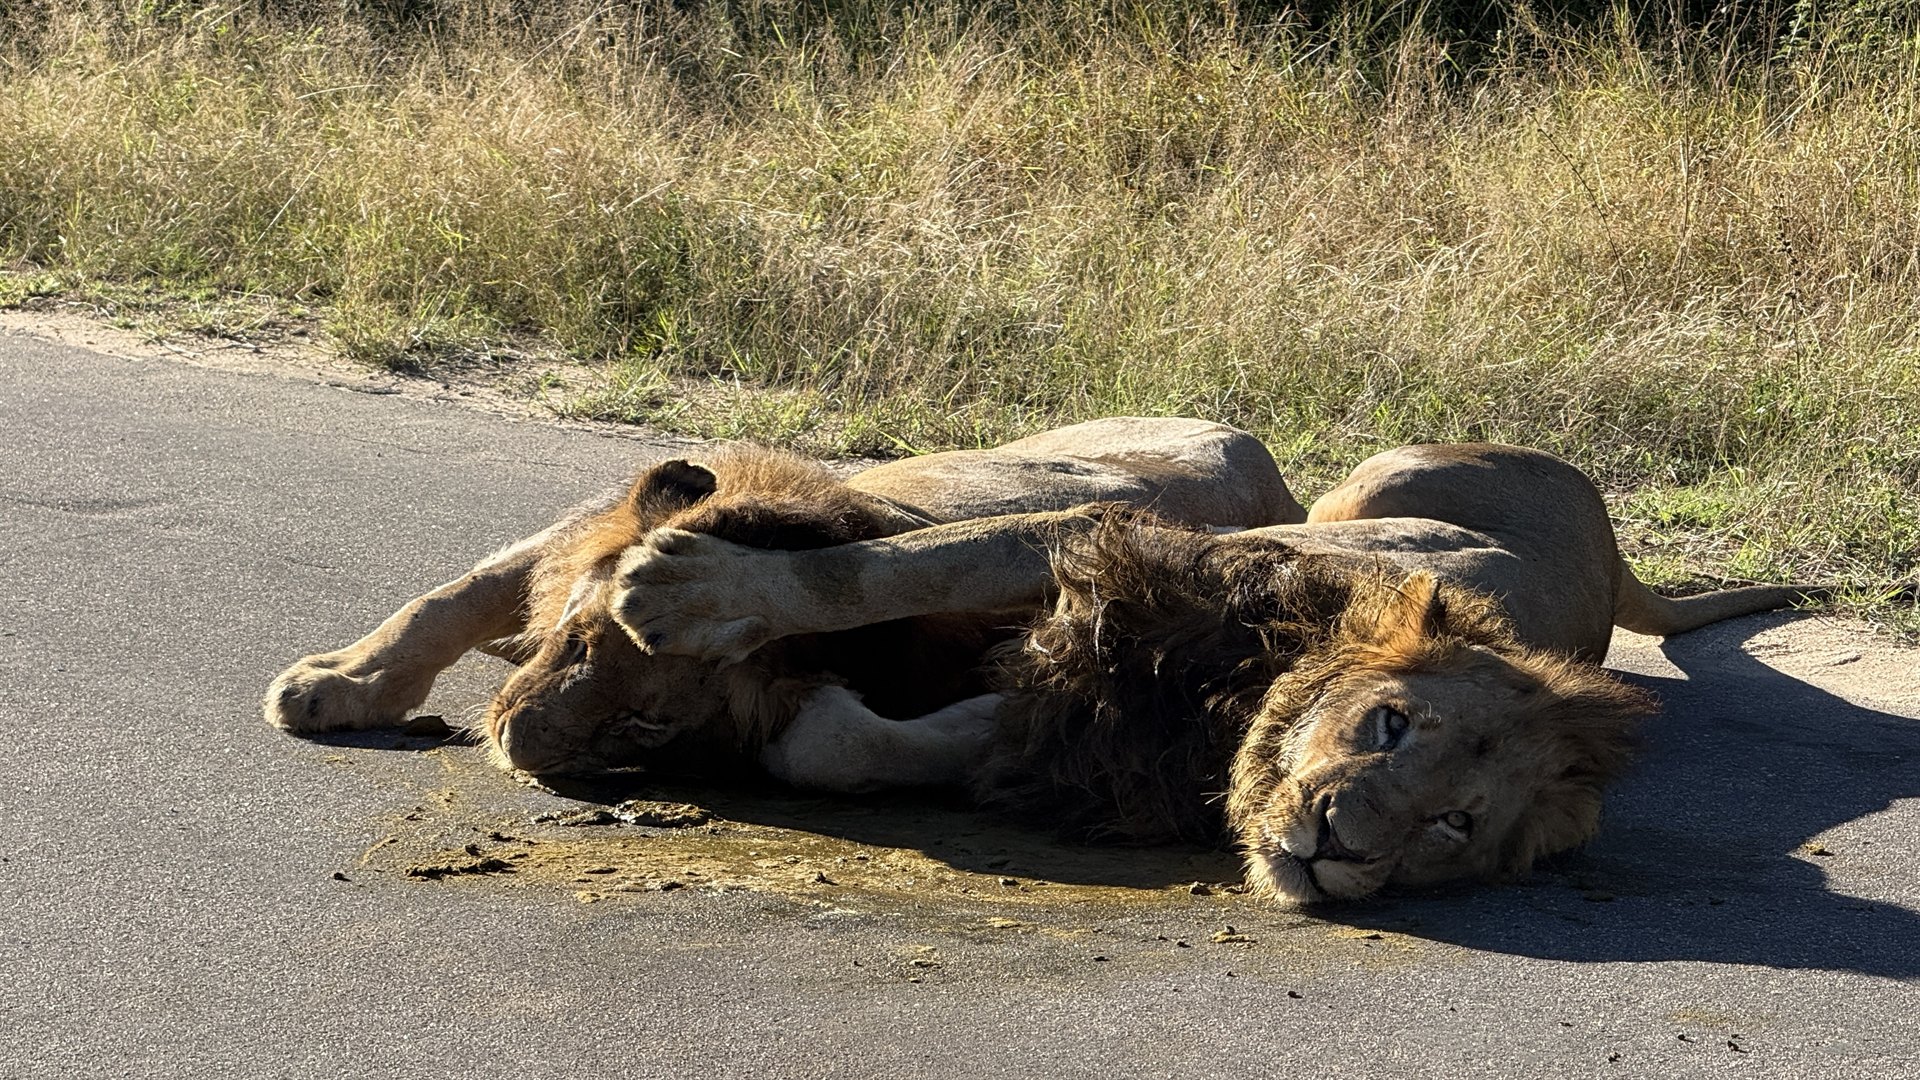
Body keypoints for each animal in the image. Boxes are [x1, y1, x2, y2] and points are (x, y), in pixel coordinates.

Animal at [263, 417, 1304, 783]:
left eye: (645, 726)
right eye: (580, 641)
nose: (516, 743)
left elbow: (832, 746)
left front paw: (998, 721)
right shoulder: (566, 539)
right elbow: (443, 601)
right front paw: (335, 686)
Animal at [610, 443, 1819, 903]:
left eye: (1454, 829)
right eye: (1389, 725)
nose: (1337, 847)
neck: (1235, 708)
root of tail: (1610, 541)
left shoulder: (1077, 720)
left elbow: (861, 746)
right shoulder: (1100, 548)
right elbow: (881, 568)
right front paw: (689, 592)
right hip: (1371, 485)